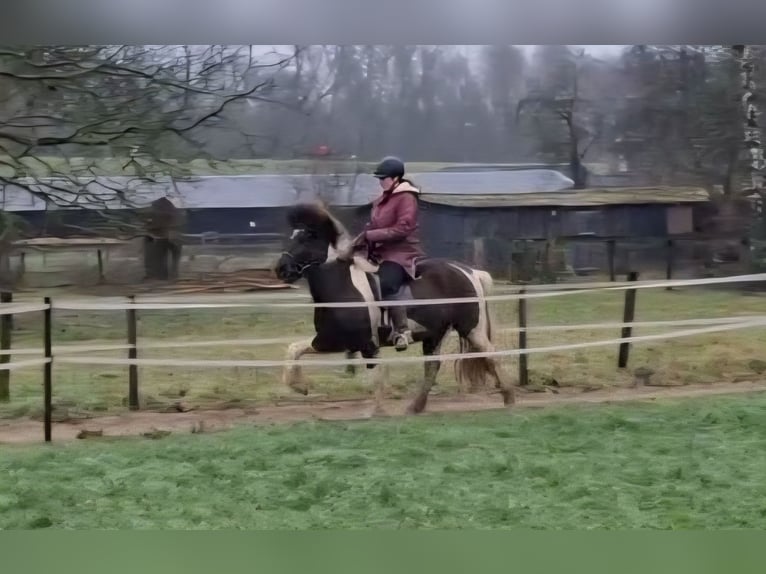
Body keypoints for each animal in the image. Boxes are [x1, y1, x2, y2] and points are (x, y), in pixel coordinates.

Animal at [273, 202, 516, 415]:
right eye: (293, 236)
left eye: (309, 237)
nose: (281, 269)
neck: (342, 286)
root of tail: (469, 271)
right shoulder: (332, 339)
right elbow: (294, 349)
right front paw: (300, 386)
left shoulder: (363, 343)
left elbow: (377, 376)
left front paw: (375, 412)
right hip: (434, 334)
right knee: (433, 366)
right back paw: (416, 407)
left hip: (471, 328)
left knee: (491, 354)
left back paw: (509, 398)